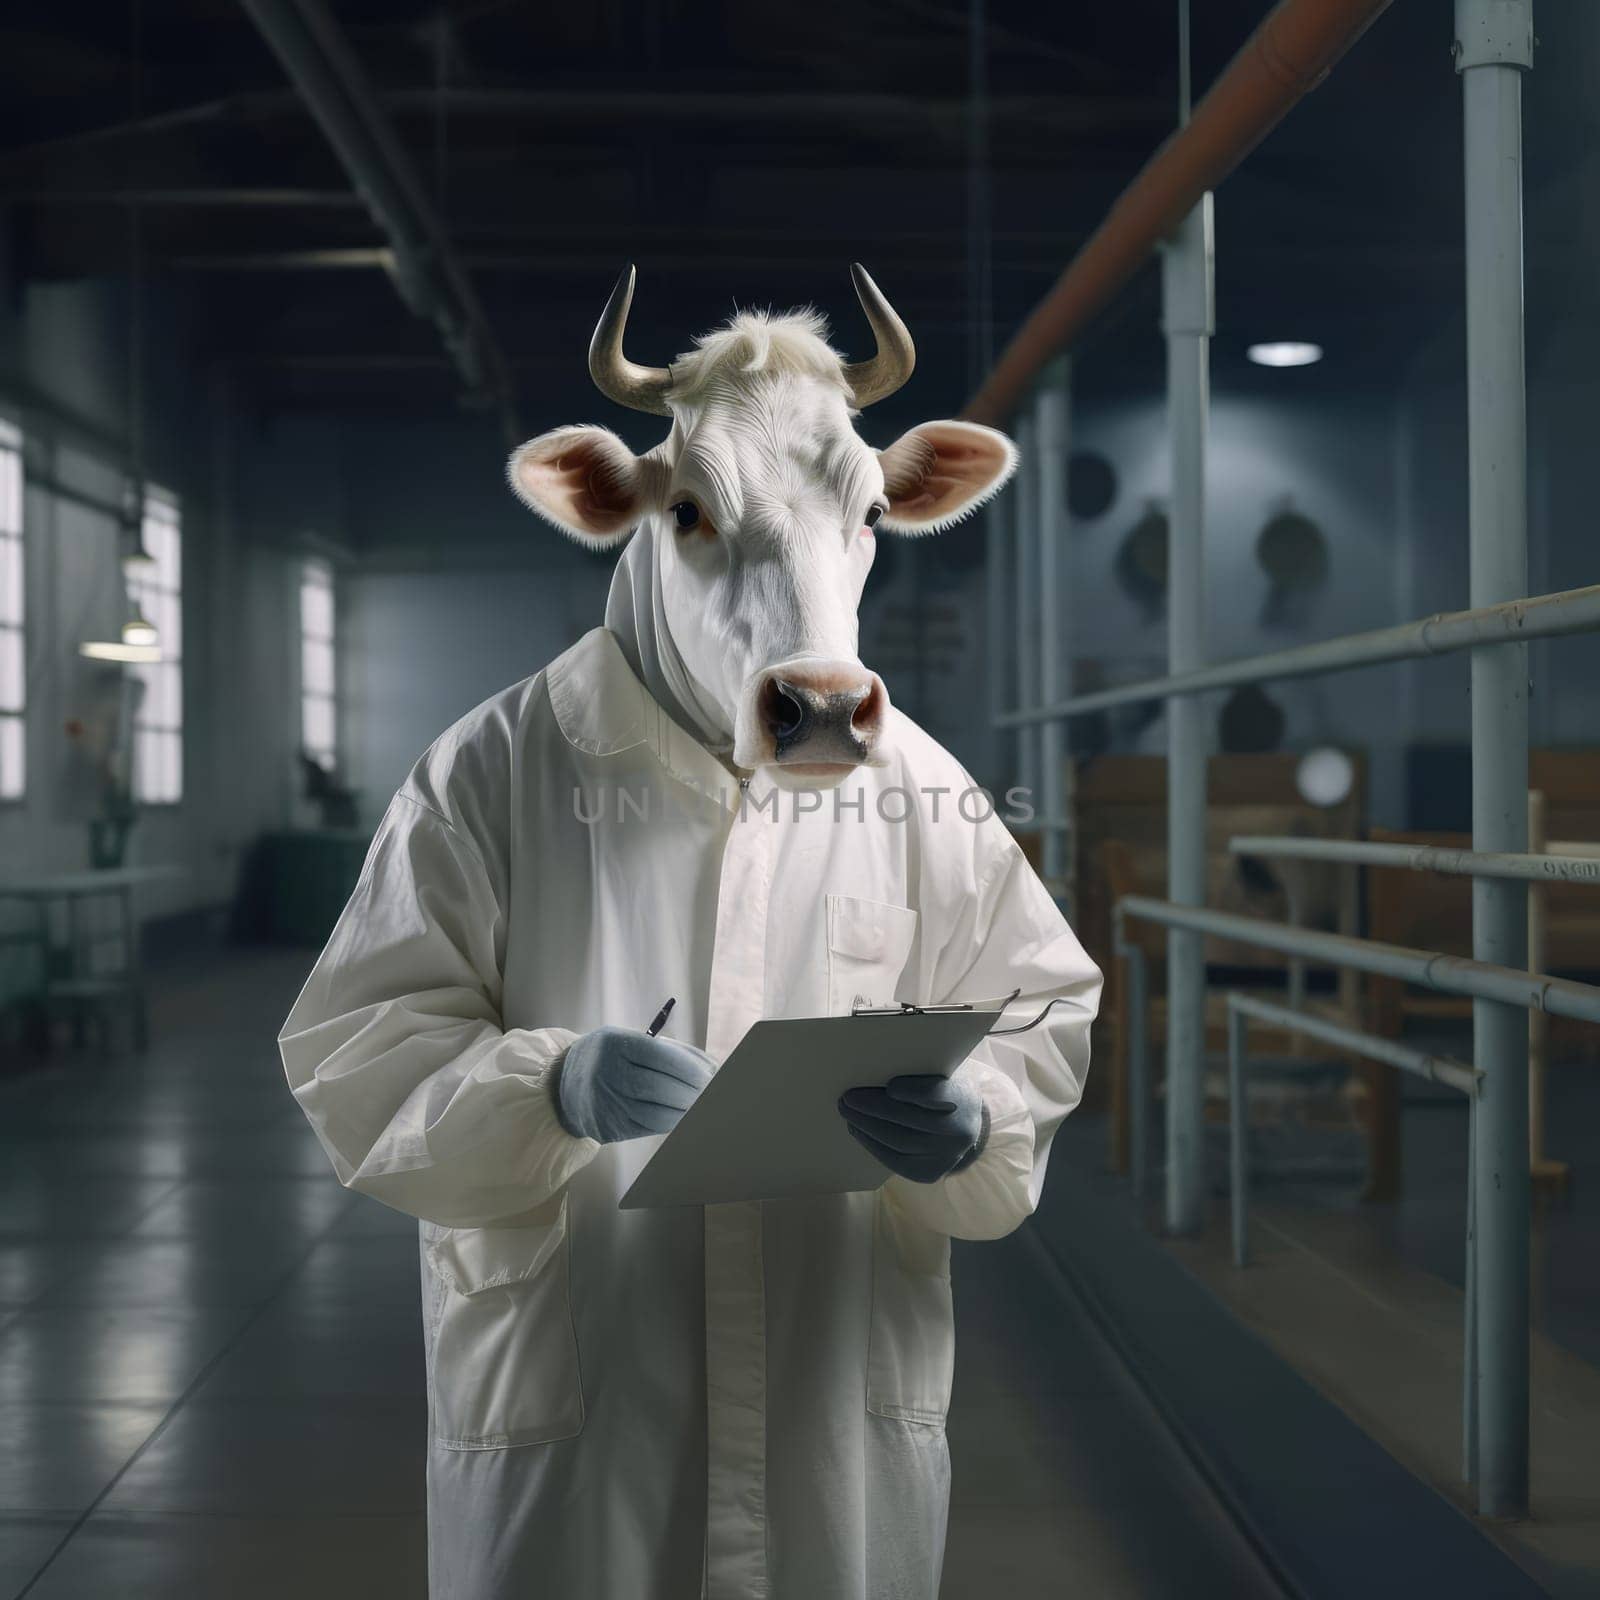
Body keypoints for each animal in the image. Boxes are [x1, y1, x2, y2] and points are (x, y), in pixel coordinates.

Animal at [278, 268, 1100, 1600]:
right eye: (686, 510)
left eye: (873, 509)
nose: (822, 705)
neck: (735, 779)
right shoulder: (430, 825)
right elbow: (384, 1023)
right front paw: (606, 1077)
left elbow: (1048, 999)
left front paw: (945, 1116)